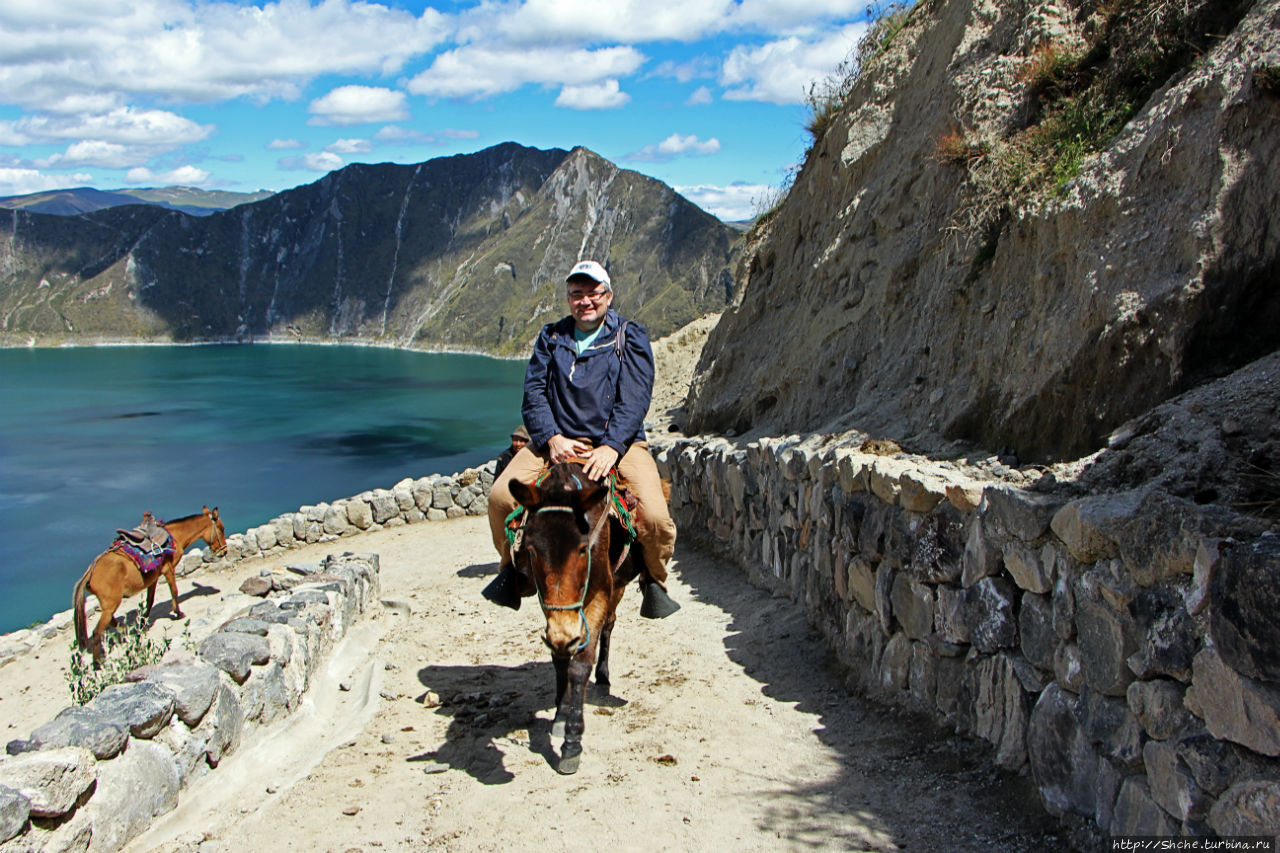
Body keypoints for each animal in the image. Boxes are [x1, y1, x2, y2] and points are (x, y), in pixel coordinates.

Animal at [74, 504, 227, 666]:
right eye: (221, 528)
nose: (224, 551)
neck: (175, 536)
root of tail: (90, 571)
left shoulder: (153, 578)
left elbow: (150, 600)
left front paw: (143, 622)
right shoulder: (168, 569)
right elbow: (174, 590)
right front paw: (178, 613)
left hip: (110, 604)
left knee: (111, 621)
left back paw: (127, 630)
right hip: (111, 603)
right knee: (97, 632)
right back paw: (98, 663)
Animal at [509, 461, 645, 773]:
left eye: (583, 549)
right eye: (530, 550)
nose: (565, 634)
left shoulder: (600, 594)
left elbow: (580, 665)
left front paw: (572, 743)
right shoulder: (550, 608)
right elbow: (560, 660)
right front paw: (560, 716)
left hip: (619, 585)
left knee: (609, 626)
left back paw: (604, 677)